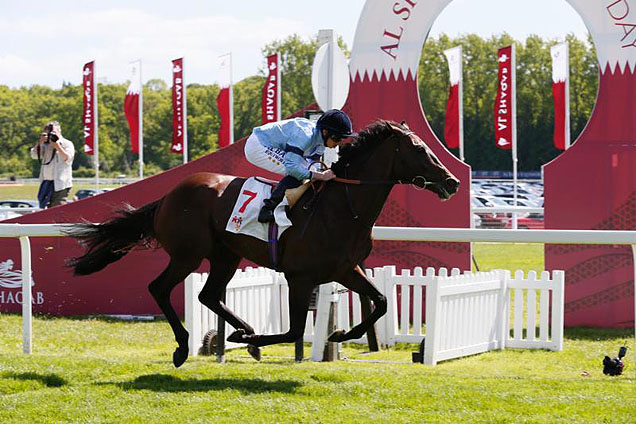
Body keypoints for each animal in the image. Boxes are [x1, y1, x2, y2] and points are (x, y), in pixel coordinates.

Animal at [67, 120, 460, 368]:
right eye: (419, 149)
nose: (452, 182)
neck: (344, 207)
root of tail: (168, 196)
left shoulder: (345, 269)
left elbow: (380, 301)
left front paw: (343, 331)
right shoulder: (300, 277)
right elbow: (294, 330)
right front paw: (255, 342)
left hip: (225, 255)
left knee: (208, 295)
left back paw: (243, 329)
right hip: (188, 254)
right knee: (159, 287)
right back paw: (186, 346)